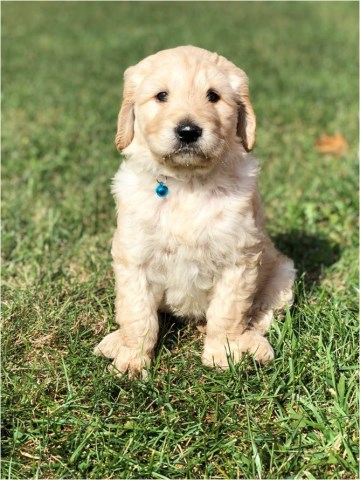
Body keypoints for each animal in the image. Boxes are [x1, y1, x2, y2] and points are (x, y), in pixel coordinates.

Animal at [95, 46, 296, 376]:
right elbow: (137, 314)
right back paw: (115, 341)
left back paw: (253, 346)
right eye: (161, 95)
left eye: (213, 96)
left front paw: (221, 354)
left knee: (258, 316)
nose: (188, 131)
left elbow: (228, 313)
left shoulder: (238, 259)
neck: (186, 183)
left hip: (283, 274)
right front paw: (133, 360)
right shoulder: (134, 257)